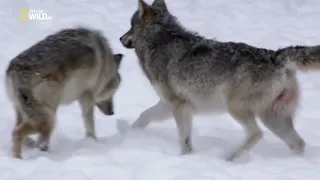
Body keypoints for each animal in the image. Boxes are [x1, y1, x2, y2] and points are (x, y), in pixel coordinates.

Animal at [6, 27, 124, 159]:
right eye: (112, 93)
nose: (112, 112)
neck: (105, 66)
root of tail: (16, 69)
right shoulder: (86, 96)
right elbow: (90, 124)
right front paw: (93, 141)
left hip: (29, 114)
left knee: (21, 132)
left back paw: (37, 148)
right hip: (49, 118)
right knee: (17, 133)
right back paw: (19, 158)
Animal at [119, 0, 320, 162]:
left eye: (130, 26)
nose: (120, 38)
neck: (159, 40)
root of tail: (275, 56)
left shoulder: (179, 106)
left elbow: (185, 141)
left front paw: (184, 158)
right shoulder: (169, 104)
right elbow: (144, 115)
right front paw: (130, 132)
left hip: (237, 108)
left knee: (256, 133)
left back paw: (229, 158)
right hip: (272, 118)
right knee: (298, 143)